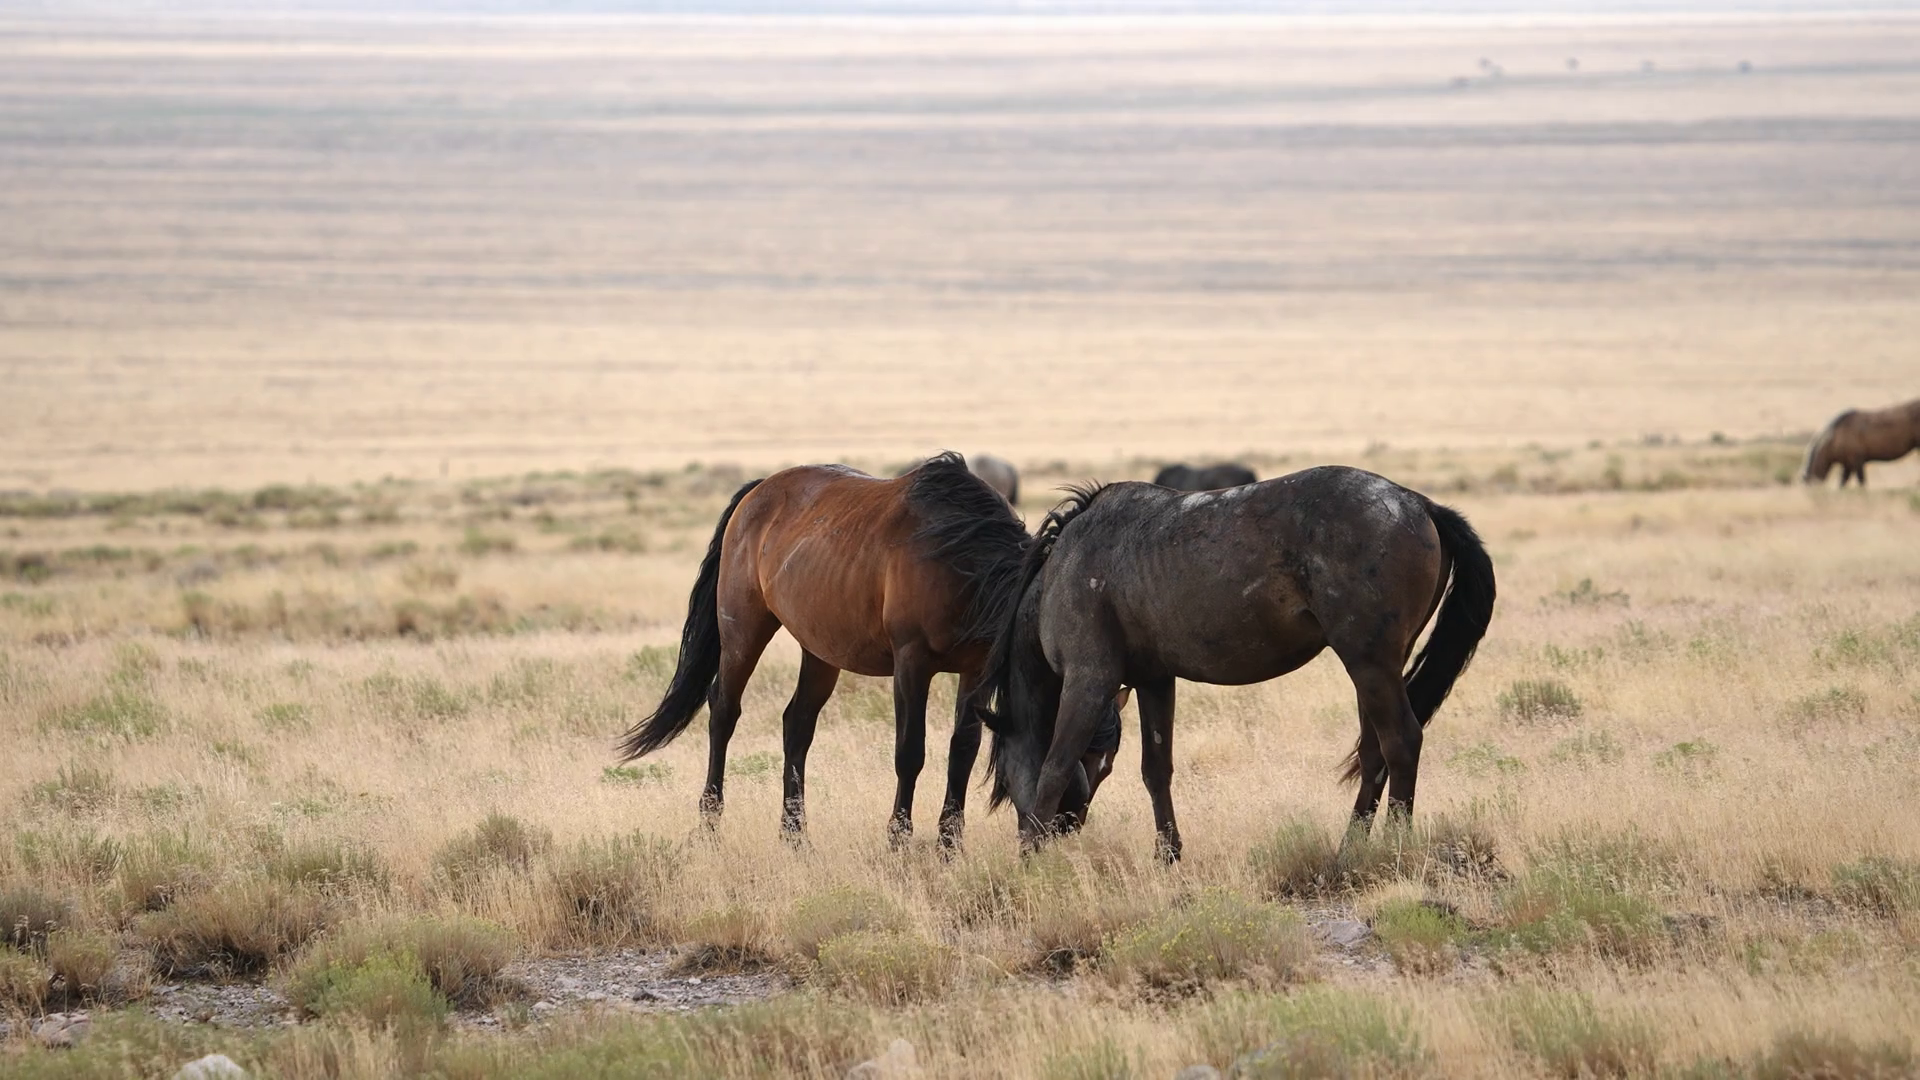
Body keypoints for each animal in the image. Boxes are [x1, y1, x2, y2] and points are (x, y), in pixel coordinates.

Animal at [615, 452, 1028, 847]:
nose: (1034, 842)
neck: (957, 557)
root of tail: (758, 490)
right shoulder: (912, 664)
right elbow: (910, 752)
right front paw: (898, 839)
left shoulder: (975, 669)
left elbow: (963, 750)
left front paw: (949, 845)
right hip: (743, 633)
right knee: (724, 713)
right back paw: (710, 826)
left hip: (819, 652)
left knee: (797, 724)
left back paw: (795, 835)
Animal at [978, 465, 1495, 862]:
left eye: (1002, 775)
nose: (1065, 830)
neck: (1063, 570)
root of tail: (1417, 503)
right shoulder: (1155, 680)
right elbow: (1155, 769)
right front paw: (1168, 855)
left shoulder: (1089, 680)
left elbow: (1054, 766)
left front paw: (1028, 860)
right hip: (1378, 667)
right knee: (1374, 752)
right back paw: (1348, 848)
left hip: (1369, 662)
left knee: (1401, 742)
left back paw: (1395, 846)